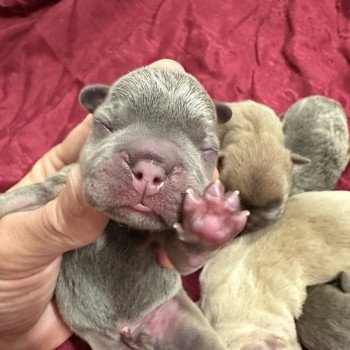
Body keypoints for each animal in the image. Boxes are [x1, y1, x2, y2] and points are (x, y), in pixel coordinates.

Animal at [0, 66, 247, 350]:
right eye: (106, 125)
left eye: (206, 148)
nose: (151, 167)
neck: (120, 225)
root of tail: (131, 330)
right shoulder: (55, 185)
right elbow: (24, 196)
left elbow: (186, 258)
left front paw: (211, 218)